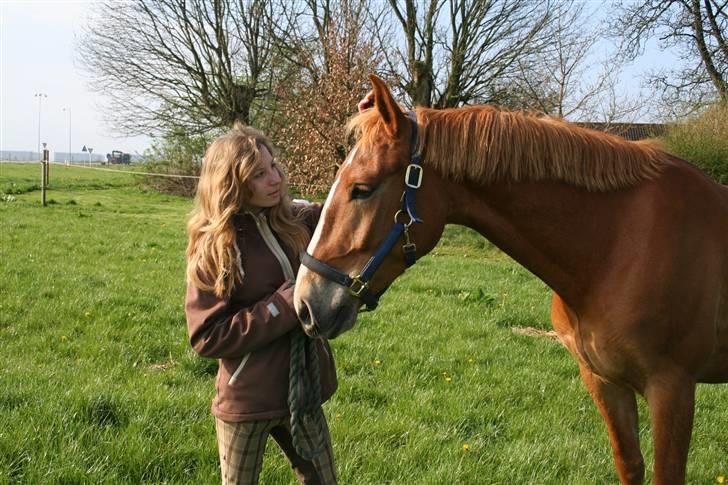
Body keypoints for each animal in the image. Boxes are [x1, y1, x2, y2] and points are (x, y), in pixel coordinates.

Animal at [292, 76, 728, 484]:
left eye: (361, 189)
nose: (305, 304)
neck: (618, 246)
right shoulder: (605, 382)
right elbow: (630, 466)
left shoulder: (672, 390)